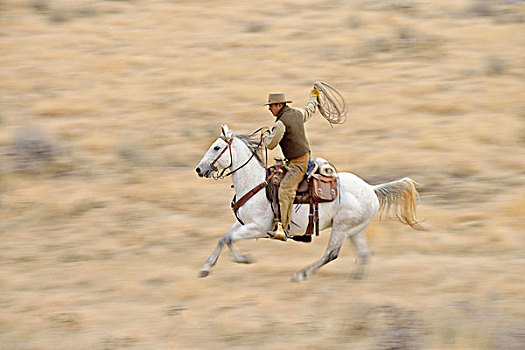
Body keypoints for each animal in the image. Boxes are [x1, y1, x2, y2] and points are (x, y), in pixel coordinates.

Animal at [194, 126, 420, 282]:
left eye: (216, 147)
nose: (199, 169)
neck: (255, 183)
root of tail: (371, 189)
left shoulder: (259, 227)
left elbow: (230, 239)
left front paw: (244, 259)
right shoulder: (244, 223)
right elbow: (223, 238)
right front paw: (205, 269)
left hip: (341, 228)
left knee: (331, 254)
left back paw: (300, 275)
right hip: (355, 230)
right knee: (364, 254)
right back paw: (355, 279)